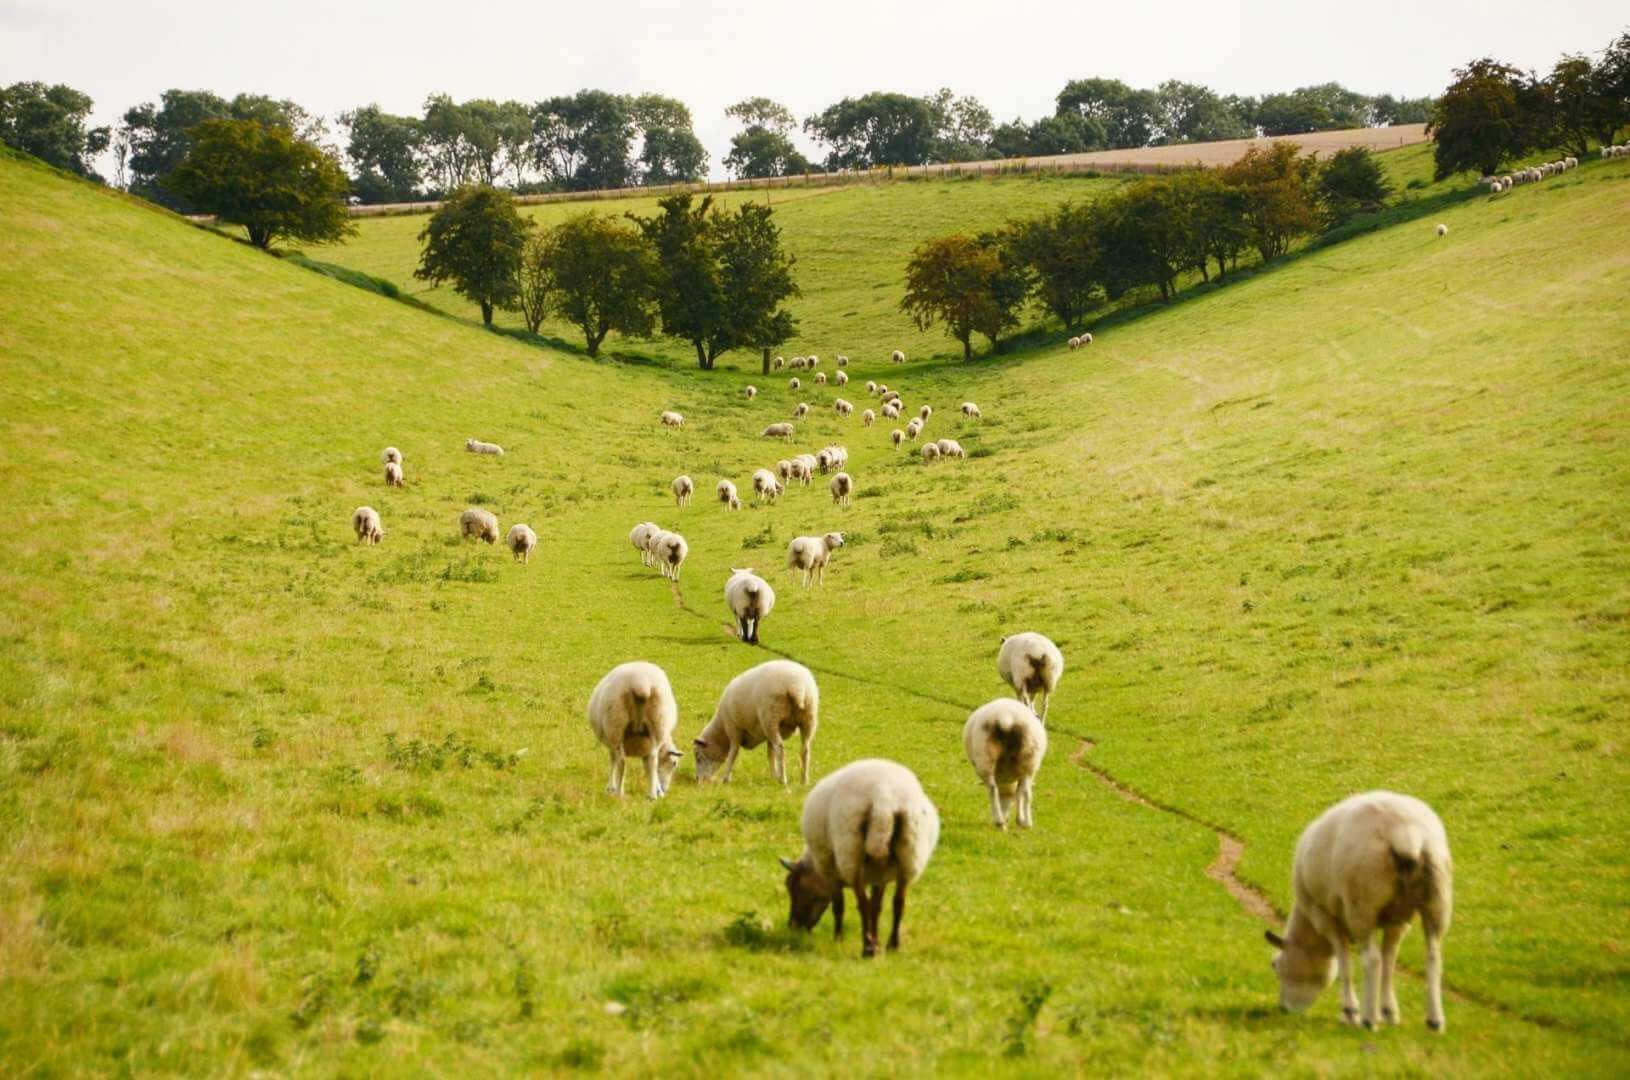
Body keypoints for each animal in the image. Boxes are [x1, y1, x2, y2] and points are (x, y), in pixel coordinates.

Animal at [586, 658, 681, 801]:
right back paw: (652, 795)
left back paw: (619, 792)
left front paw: (610, 788)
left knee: (621, 761)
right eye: (674, 763)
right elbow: (649, 767)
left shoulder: (611, 742)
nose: (664, 788)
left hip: (616, 723)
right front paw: (657, 790)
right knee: (653, 760)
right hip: (658, 721)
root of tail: (641, 683)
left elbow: (613, 760)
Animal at [779, 755, 945, 957]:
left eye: (794, 888)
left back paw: (868, 948)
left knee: (862, 904)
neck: (815, 867)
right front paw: (877, 940)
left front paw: (838, 939)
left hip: (850, 853)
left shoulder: (830, 868)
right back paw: (892, 945)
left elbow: (839, 906)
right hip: (910, 853)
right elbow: (877, 906)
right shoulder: (879, 875)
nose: (792, 926)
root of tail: (884, 799)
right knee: (898, 903)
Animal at [958, 697, 1049, 830]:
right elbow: (1020, 794)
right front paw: (1019, 820)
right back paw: (1022, 822)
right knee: (1024, 793)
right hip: (1029, 763)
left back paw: (1004, 822)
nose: (1006, 818)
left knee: (993, 789)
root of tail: (1006, 718)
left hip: (986, 757)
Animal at [1264, 791, 1460, 1036]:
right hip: (1437, 899)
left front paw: (1351, 1011)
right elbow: (1389, 960)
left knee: (1372, 960)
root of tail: (1406, 833)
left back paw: (1368, 1020)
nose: (1283, 1009)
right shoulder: (1398, 922)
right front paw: (1388, 1011)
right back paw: (1435, 1021)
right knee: (1433, 957)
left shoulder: (1326, 918)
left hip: (1362, 903)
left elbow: (1345, 963)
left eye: (1275, 965)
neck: (1311, 932)